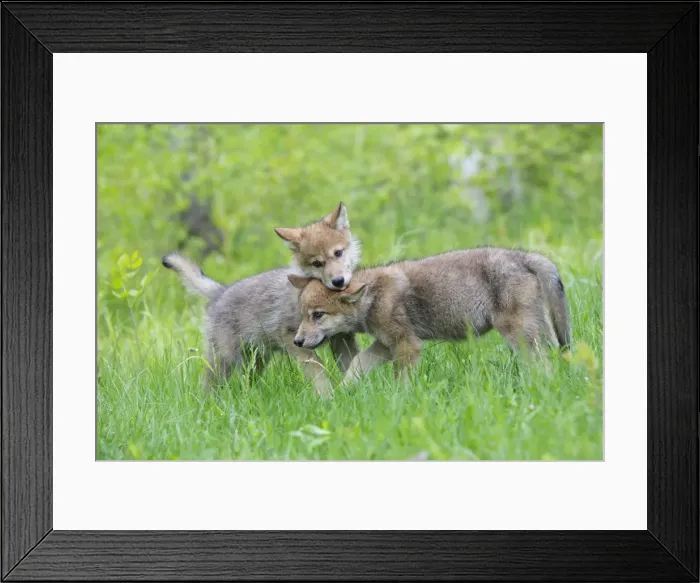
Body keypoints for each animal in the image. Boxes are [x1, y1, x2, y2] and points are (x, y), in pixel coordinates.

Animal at [163, 203, 361, 397]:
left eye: (338, 253)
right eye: (317, 264)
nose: (338, 281)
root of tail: (221, 291)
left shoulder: (343, 339)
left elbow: (353, 363)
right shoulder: (293, 338)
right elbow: (318, 371)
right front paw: (327, 397)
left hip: (256, 359)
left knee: (245, 383)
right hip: (224, 359)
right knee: (209, 386)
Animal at [288, 247, 571, 385]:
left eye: (318, 315)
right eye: (303, 316)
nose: (297, 342)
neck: (374, 296)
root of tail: (524, 256)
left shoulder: (407, 345)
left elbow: (401, 381)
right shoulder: (385, 345)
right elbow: (358, 364)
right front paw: (342, 392)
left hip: (519, 336)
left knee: (541, 365)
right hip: (538, 333)